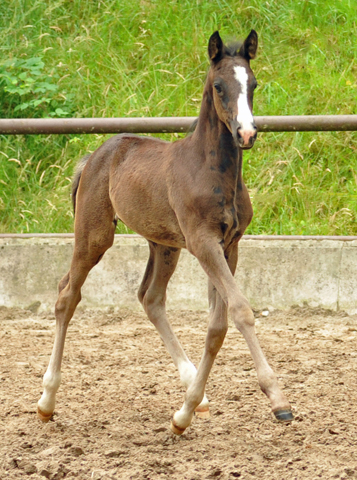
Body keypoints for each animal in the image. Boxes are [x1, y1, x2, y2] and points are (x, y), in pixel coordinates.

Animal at [37, 30, 292, 436]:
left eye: (253, 84)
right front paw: (279, 401)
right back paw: (46, 401)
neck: (212, 171)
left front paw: (185, 411)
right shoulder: (204, 244)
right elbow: (240, 311)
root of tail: (93, 157)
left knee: (150, 297)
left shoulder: (229, 245)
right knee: (67, 295)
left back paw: (195, 394)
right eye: (219, 86)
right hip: (94, 235)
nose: (247, 133)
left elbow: (217, 325)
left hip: (163, 244)